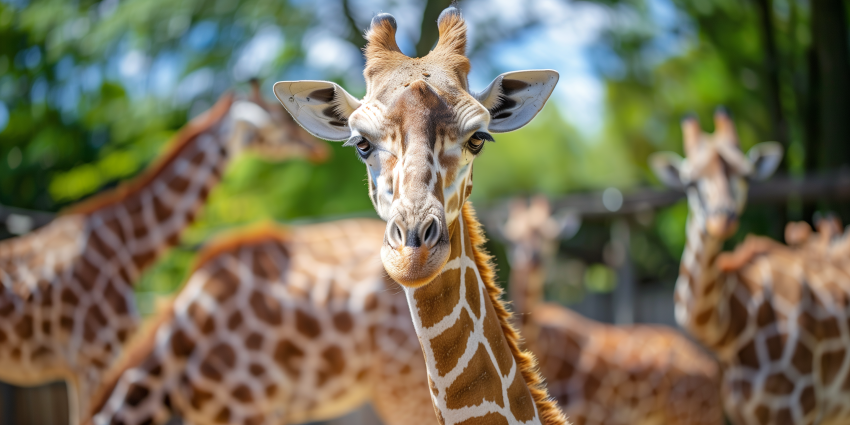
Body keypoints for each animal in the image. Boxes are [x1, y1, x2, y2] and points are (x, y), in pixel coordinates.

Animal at [502, 196, 723, 425]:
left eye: (551, 238)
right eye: (510, 239)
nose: (533, 258)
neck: (544, 345)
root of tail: (714, 374)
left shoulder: (594, 415)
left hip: (693, 415)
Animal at [650, 108, 850, 424]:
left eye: (745, 175)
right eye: (690, 182)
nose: (722, 219)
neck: (733, 328)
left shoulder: (798, 405)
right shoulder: (742, 412)